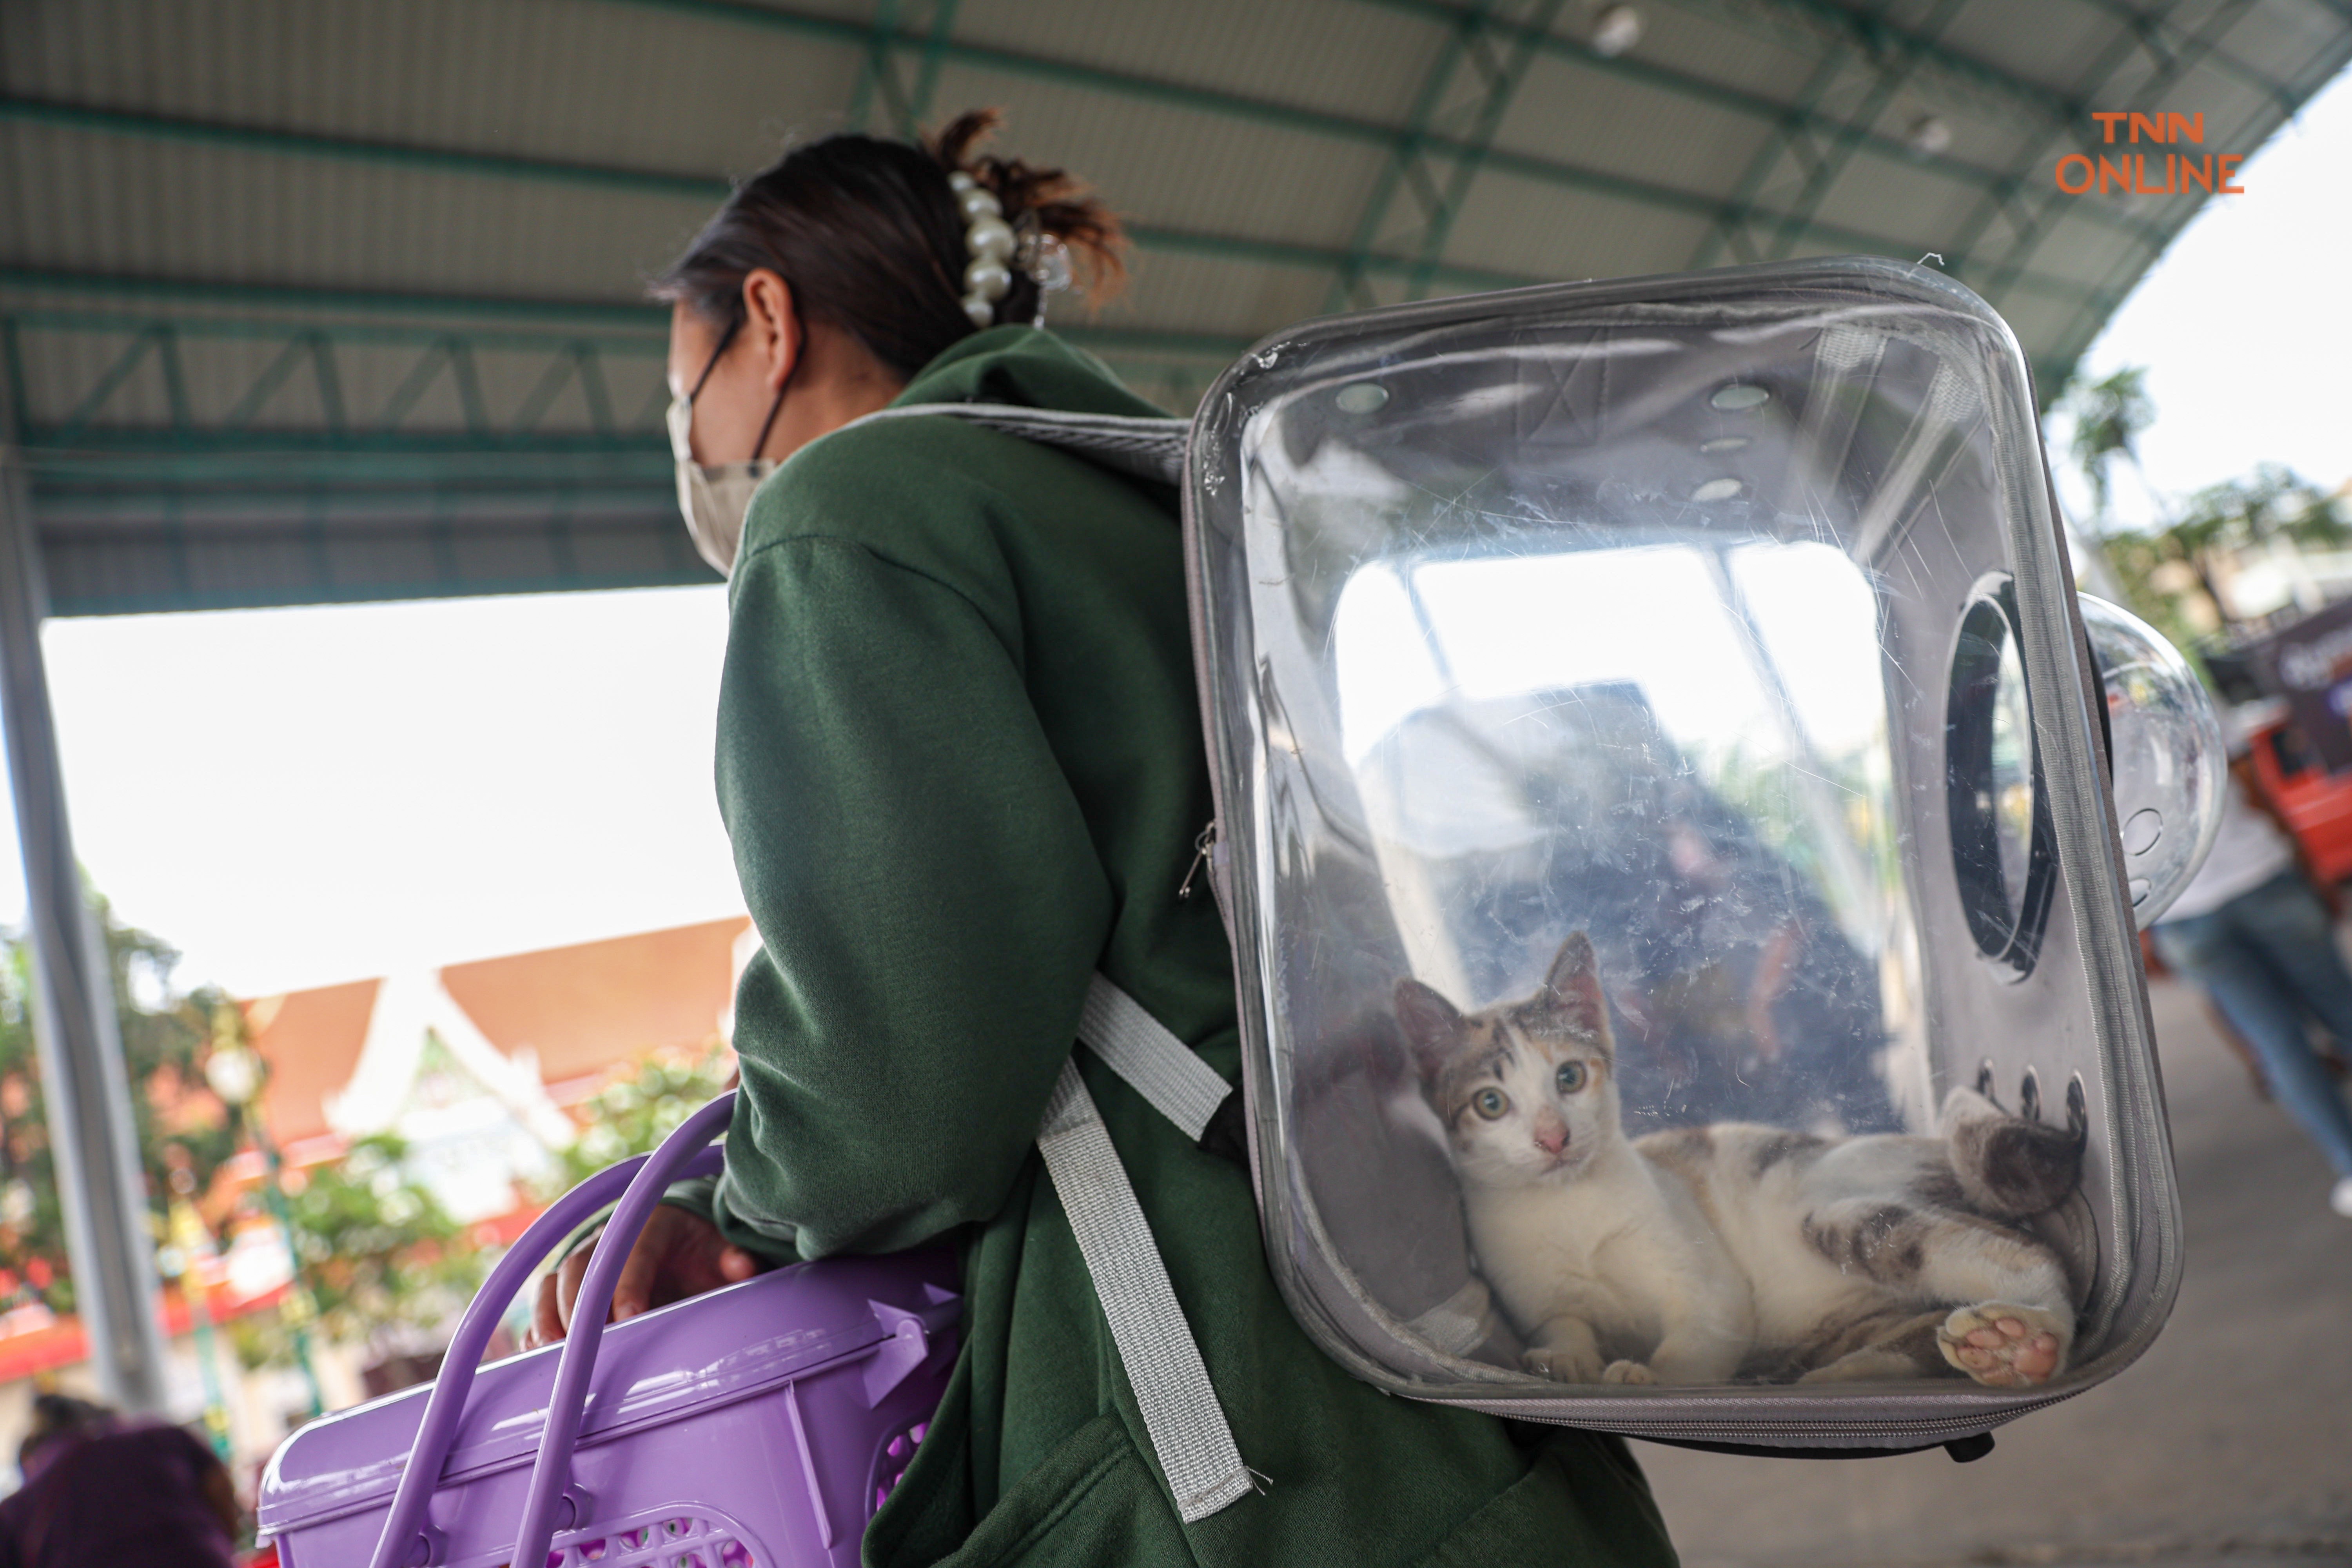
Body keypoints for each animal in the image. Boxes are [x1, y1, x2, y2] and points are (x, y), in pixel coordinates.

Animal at [1392, 931, 2079, 1382]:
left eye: (1569, 1078)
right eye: (1490, 1103)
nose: (1553, 1139)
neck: (1572, 1209)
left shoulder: (1711, 1292)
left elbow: (1691, 1349)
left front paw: (1646, 1376)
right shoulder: (1537, 1299)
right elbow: (1564, 1324)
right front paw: (1567, 1359)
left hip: (1839, 1212)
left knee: (2028, 1256)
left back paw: (2027, 1347)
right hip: (1842, 1324)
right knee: (1902, 1343)